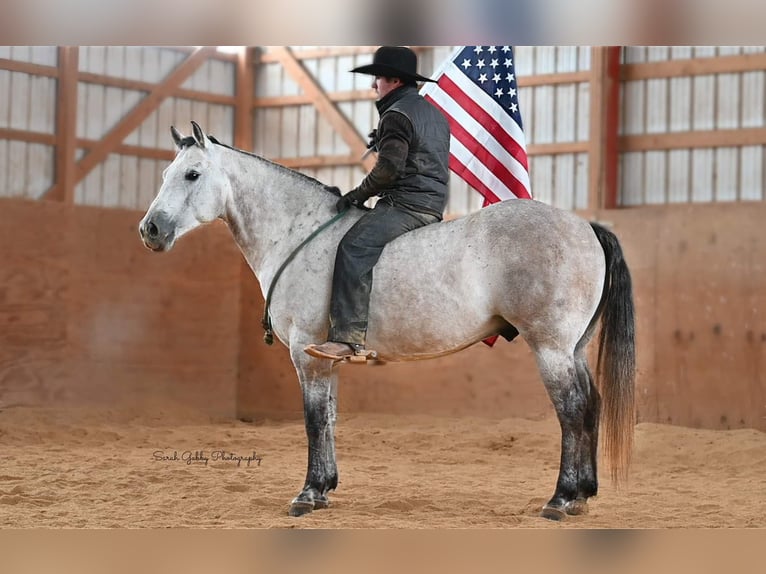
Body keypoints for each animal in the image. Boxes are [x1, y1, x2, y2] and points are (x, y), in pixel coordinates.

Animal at [138, 121, 636, 520]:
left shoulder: (306, 354)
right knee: (590, 406)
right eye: (163, 175)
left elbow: (313, 421)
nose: (150, 230)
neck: (299, 234)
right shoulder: (326, 357)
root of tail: (586, 226)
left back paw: (561, 499)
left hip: (551, 348)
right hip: (573, 349)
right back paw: (583, 495)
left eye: (192, 174)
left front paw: (307, 494)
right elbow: (329, 418)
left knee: (572, 410)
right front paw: (325, 489)